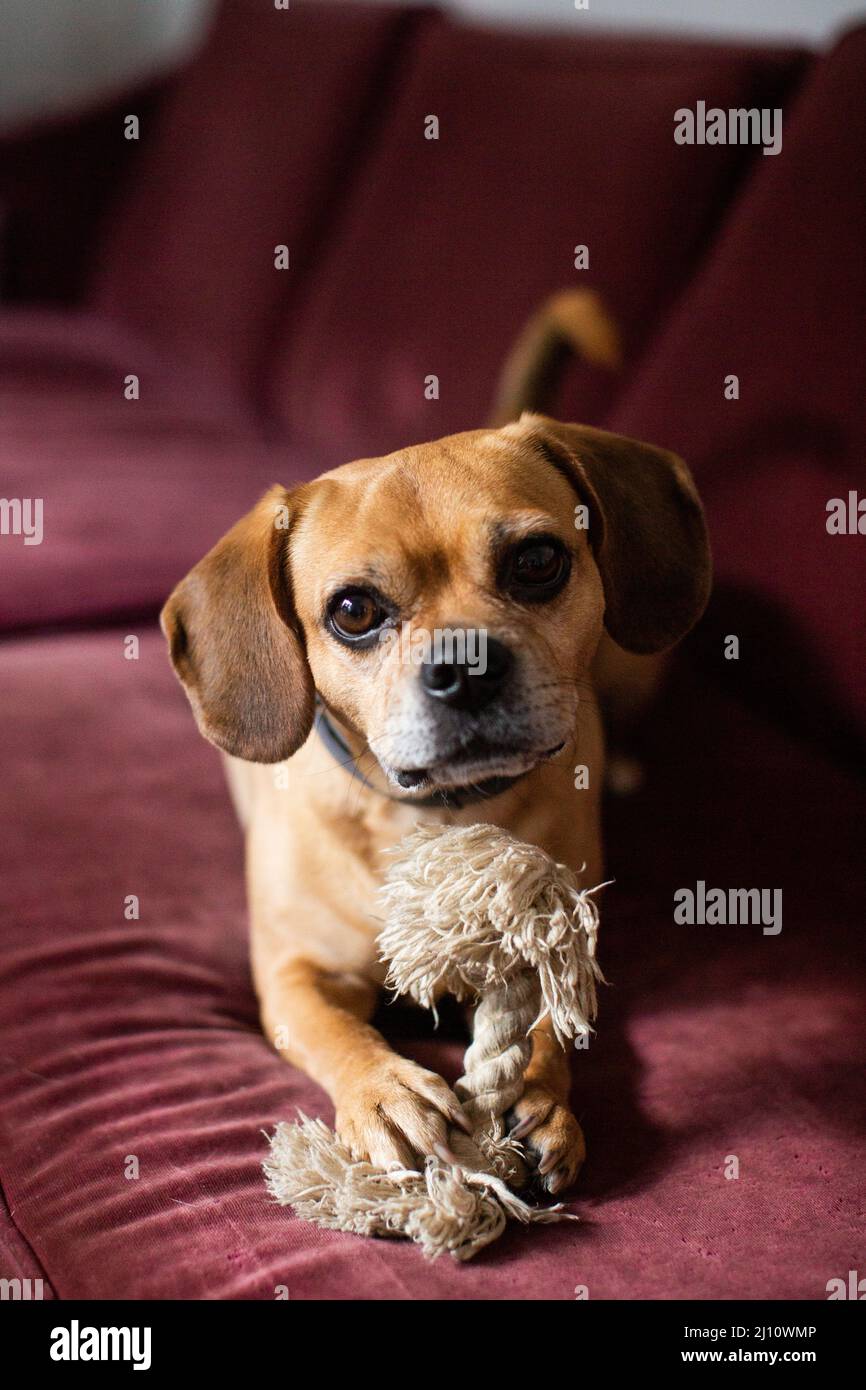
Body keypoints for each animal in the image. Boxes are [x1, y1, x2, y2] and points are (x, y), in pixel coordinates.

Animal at [161, 293, 711, 1195]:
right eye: (353, 611)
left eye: (537, 561)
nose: (466, 664)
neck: (436, 818)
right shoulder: (293, 974)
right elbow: (336, 1033)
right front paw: (385, 1093)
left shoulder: (554, 946)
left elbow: (545, 1023)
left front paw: (539, 1094)